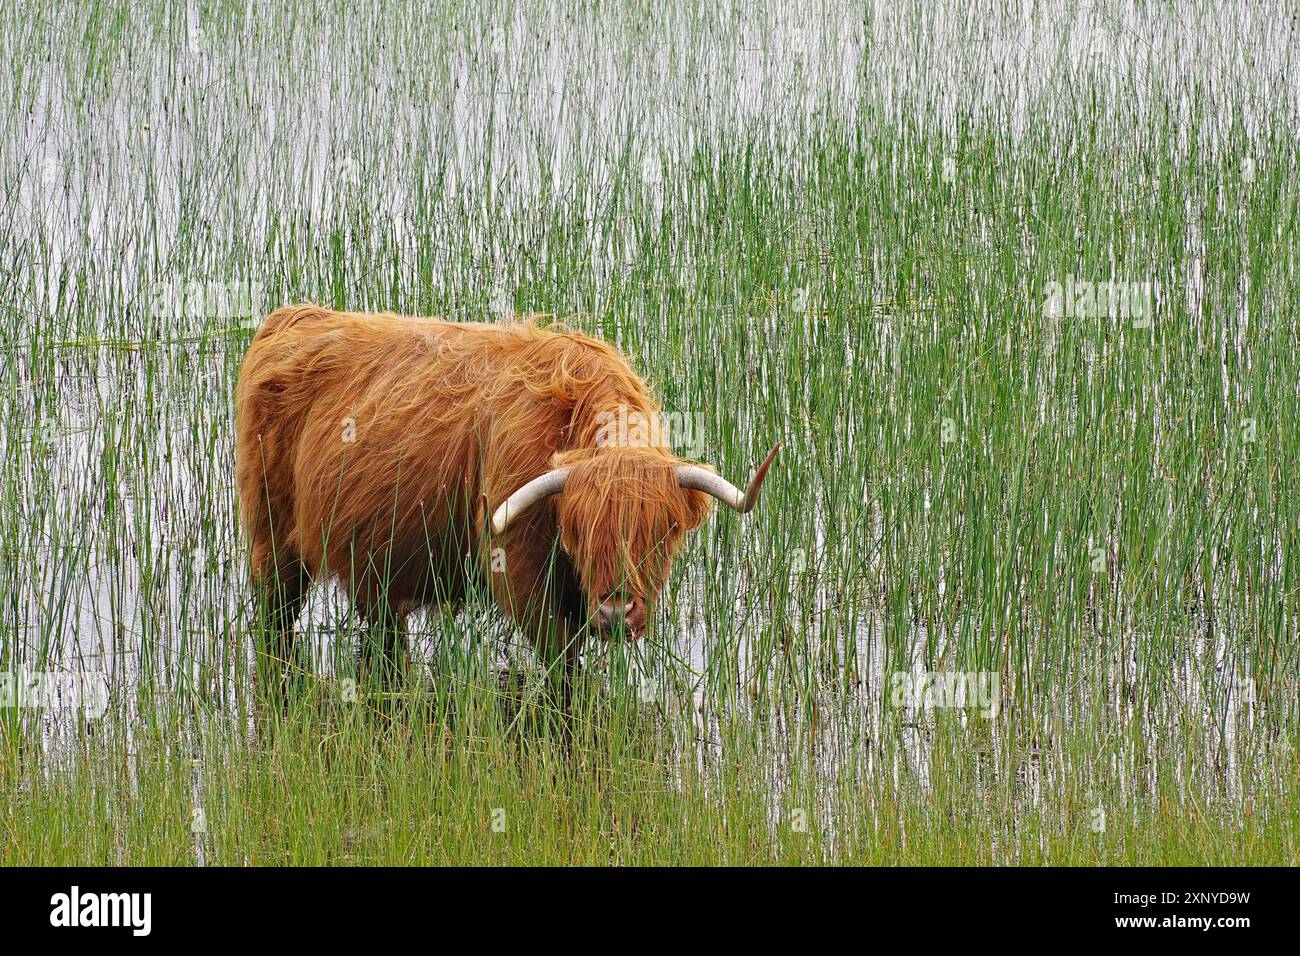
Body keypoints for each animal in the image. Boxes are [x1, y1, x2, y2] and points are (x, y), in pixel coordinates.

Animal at [234, 304, 778, 707]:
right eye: (578, 529)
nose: (614, 613)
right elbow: (561, 657)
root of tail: (293, 317)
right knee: (277, 615)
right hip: (271, 537)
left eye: (662, 531)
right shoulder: (519, 569)